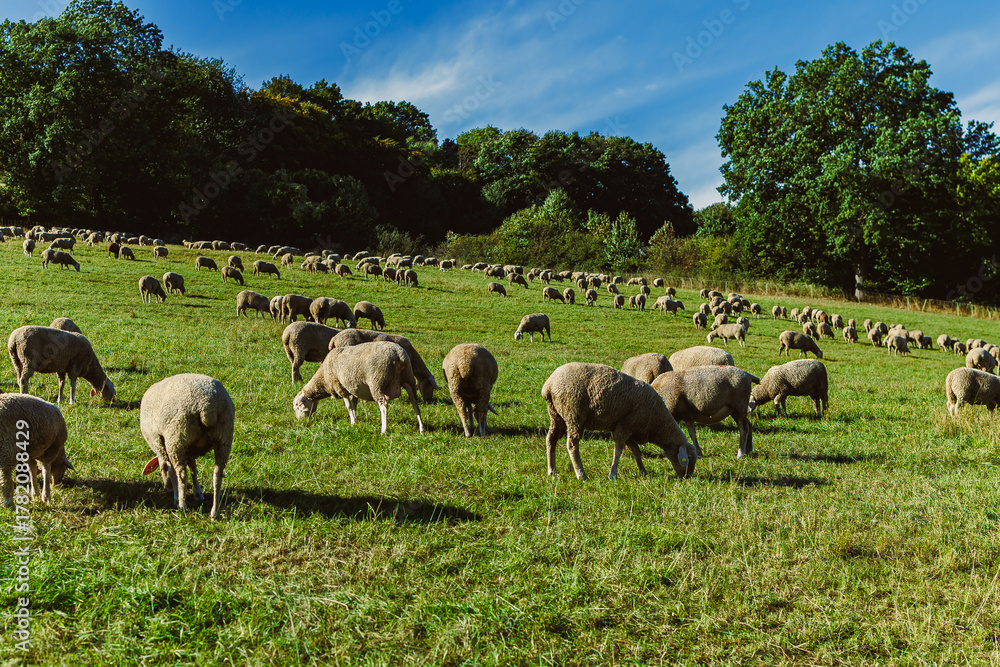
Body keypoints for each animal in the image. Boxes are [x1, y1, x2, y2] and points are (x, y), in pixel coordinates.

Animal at [139, 374, 234, 519]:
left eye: (160, 470)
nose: (167, 490)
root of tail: (207, 405)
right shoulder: (189, 450)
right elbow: (193, 468)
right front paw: (198, 492)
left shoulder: (162, 445)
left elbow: (172, 471)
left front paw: (176, 496)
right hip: (224, 437)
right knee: (217, 475)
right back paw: (214, 512)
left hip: (176, 438)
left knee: (182, 474)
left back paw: (182, 506)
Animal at [293, 341, 425, 434]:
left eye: (298, 407)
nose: (300, 422)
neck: (323, 378)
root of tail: (399, 354)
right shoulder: (353, 388)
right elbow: (354, 405)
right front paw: (355, 419)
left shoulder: (340, 387)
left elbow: (348, 406)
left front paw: (352, 421)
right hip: (408, 379)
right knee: (415, 403)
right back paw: (422, 428)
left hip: (377, 382)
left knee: (384, 405)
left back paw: (384, 430)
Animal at [541, 363, 694, 481]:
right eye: (688, 458)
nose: (687, 477)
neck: (656, 422)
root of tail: (548, 385)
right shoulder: (624, 426)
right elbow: (619, 450)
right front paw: (613, 474)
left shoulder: (630, 429)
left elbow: (636, 450)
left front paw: (642, 470)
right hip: (574, 415)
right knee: (572, 445)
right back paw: (581, 475)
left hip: (556, 415)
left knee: (551, 439)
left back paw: (552, 471)